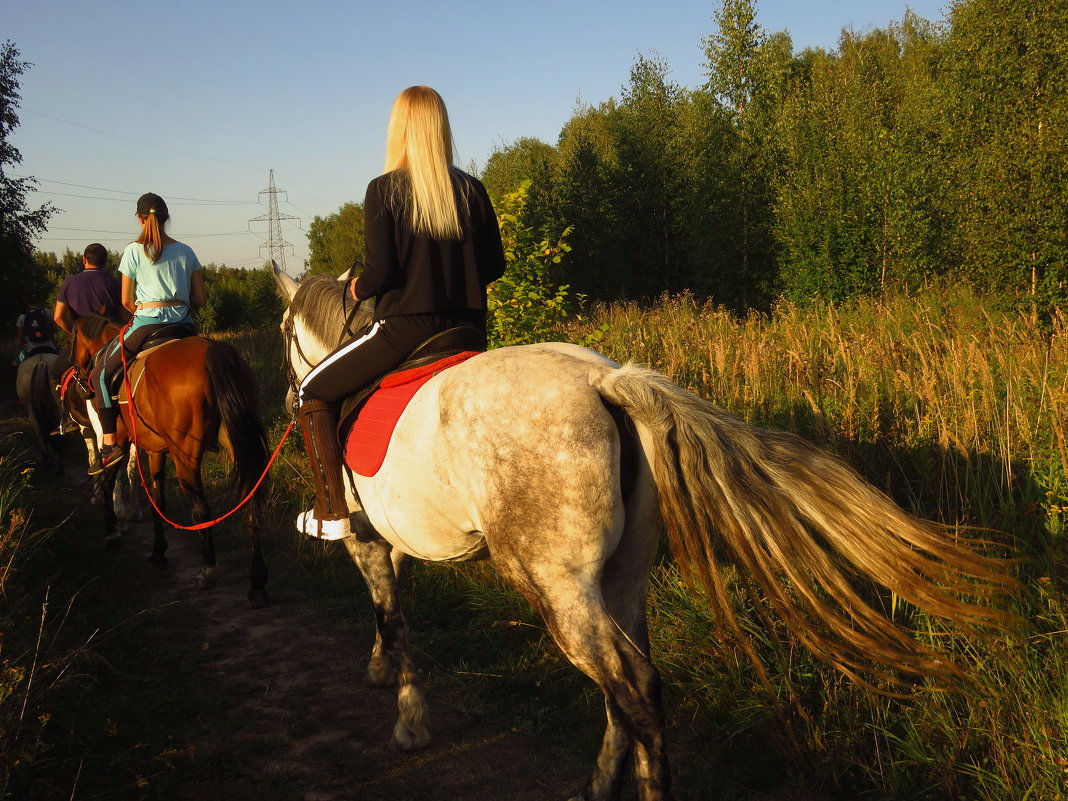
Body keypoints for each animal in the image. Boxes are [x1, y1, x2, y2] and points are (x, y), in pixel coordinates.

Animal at [72, 313, 271, 606]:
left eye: (72, 339)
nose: (80, 377)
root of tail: (214, 351)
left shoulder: (120, 440)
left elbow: (110, 481)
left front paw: (111, 531)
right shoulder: (156, 451)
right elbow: (158, 500)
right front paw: (158, 551)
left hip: (185, 456)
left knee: (201, 508)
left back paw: (208, 572)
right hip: (239, 442)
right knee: (251, 500)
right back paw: (257, 584)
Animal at [271, 270, 1012, 801]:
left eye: (281, 331)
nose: (288, 399)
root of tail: (606, 380)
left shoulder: (367, 539)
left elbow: (393, 618)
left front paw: (407, 718)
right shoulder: (390, 538)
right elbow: (392, 607)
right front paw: (379, 672)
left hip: (558, 587)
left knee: (629, 687)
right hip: (619, 578)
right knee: (631, 688)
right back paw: (599, 785)